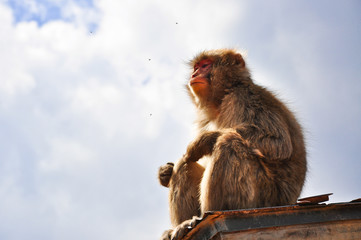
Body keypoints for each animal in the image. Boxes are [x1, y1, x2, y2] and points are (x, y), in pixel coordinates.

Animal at [158, 49, 306, 240]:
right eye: (196, 67)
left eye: (205, 65)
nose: (194, 74)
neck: (222, 98)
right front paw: (165, 173)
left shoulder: (244, 97)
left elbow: (279, 144)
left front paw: (203, 141)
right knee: (186, 162)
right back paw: (183, 224)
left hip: (263, 197)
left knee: (228, 142)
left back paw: (206, 214)